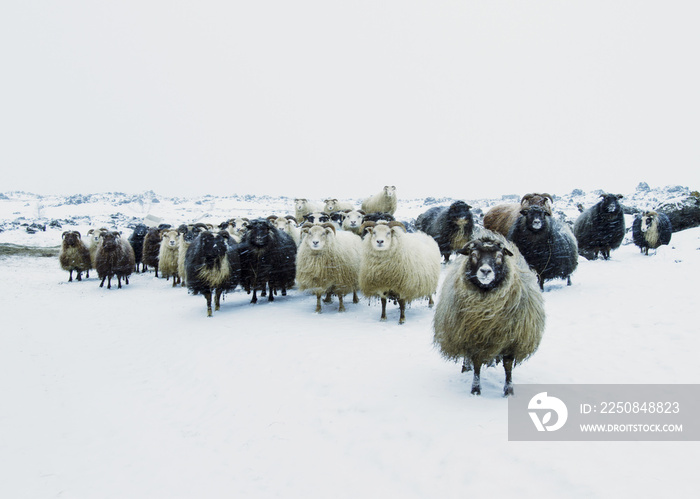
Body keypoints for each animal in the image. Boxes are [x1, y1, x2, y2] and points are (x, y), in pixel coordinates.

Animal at [432, 231, 548, 398]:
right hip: (462, 333)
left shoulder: (512, 339)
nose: (485, 271)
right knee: (468, 357)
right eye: (474, 254)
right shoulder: (475, 337)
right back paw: (465, 368)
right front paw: (475, 389)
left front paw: (508, 390)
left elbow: (508, 366)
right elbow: (477, 364)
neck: (488, 309)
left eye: (499, 256)